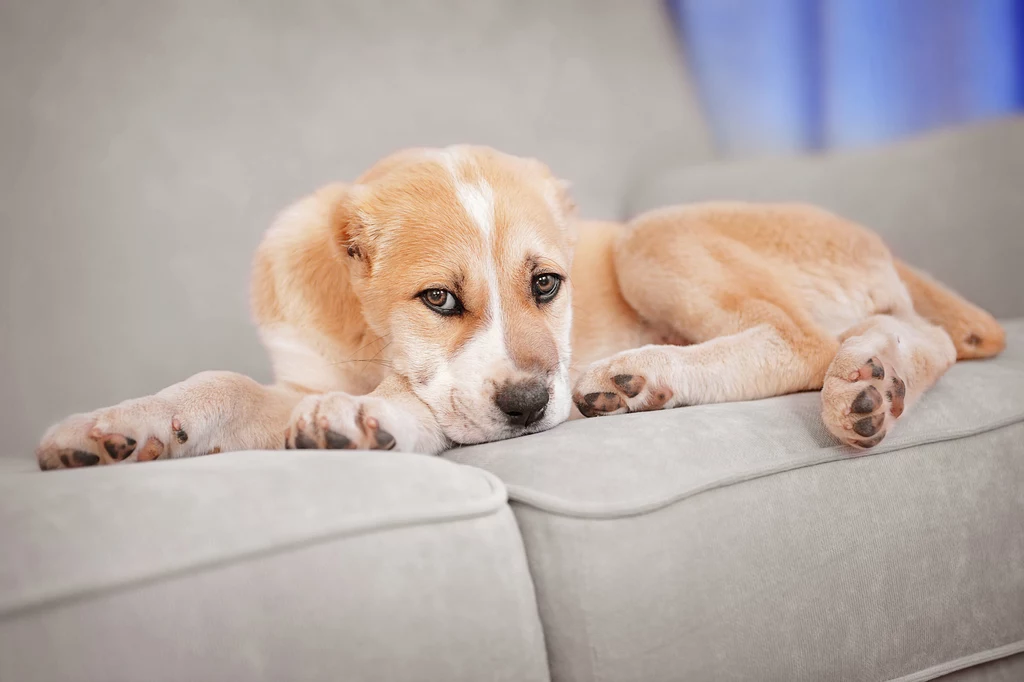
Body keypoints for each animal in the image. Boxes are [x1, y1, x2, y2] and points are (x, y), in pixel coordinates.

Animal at [36, 146, 1003, 471]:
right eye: (438, 298)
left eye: (547, 285)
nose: (534, 405)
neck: (364, 338)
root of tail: (876, 241)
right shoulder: (292, 374)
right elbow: (222, 385)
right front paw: (109, 430)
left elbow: (413, 403)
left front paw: (365, 419)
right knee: (910, 339)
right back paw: (869, 387)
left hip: (653, 238)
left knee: (801, 342)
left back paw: (640, 375)